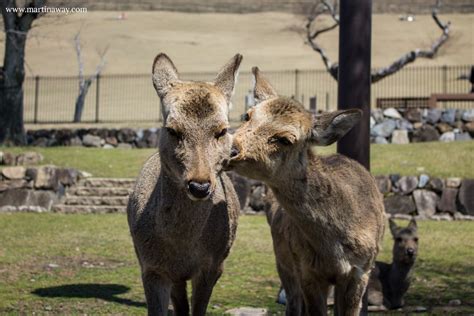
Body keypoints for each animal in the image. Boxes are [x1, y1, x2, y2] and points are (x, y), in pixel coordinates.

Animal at [128, 53, 243, 314]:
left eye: (222, 130)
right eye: (172, 129)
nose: (199, 186)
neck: (183, 248)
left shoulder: (213, 266)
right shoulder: (150, 266)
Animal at [228, 66, 386, 314]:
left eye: (285, 139)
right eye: (248, 115)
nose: (231, 149)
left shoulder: (362, 269)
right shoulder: (307, 270)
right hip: (282, 259)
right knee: (293, 301)